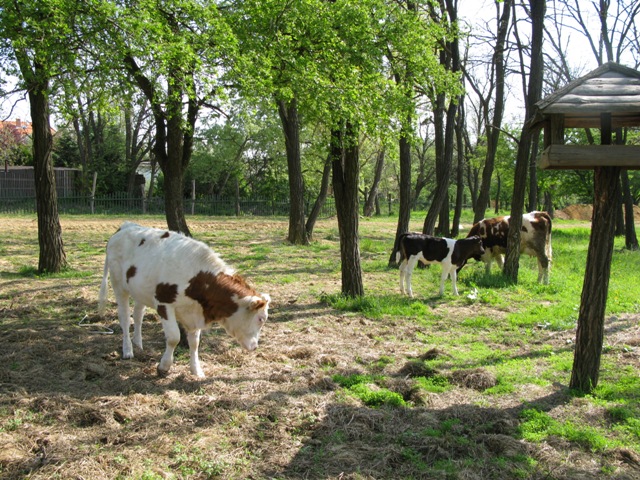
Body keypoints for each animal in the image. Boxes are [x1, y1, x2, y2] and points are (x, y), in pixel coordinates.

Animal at [97, 222, 270, 378]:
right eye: (261, 319)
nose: (255, 346)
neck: (196, 278)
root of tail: (125, 226)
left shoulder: (195, 311)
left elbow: (194, 342)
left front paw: (196, 370)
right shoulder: (164, 303)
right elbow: (174, 337)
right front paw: (164, 366)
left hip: (140, 290)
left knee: (138, 315)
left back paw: (138, 344)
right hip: (118, 285)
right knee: (125, 318)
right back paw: (128, 350)